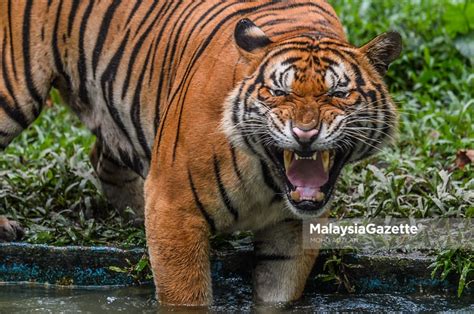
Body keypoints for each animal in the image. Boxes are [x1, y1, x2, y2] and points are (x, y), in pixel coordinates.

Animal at [0, 0, 400, 306]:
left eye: (338, 94)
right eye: (278, 92)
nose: (305, 134)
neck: (268, 177)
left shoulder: (292, 228)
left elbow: (278, 294)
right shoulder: (174, 208)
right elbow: (186, 295)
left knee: (103, 159)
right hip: (12, 93)